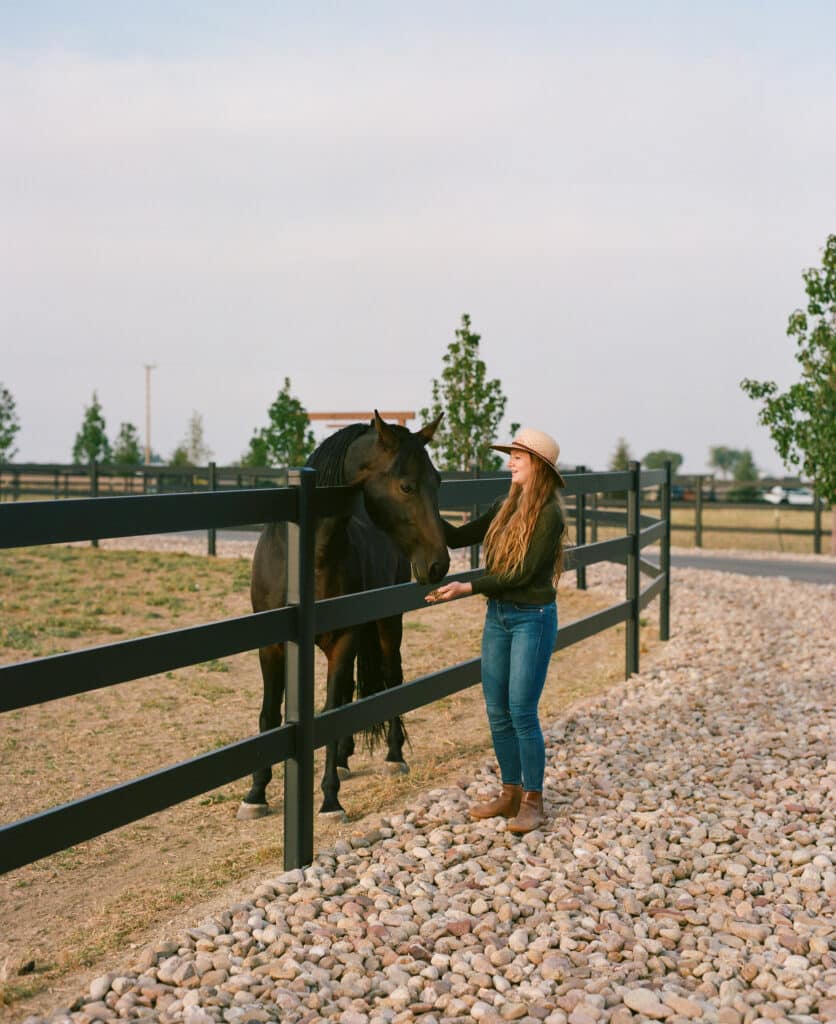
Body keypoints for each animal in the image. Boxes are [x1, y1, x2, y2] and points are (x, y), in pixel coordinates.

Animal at [238, 411, 450, 819]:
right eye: (406, 486)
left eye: (438, 482)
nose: (438, 564)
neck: (305, 558)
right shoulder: (271, 645)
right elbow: (270, 715)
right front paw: (256, 793)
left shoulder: (343, 639)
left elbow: (331, 711)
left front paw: (329, 799)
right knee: (354, 689)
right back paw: (344, 758)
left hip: (386, 627)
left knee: (391, 679)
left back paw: (392, 756)